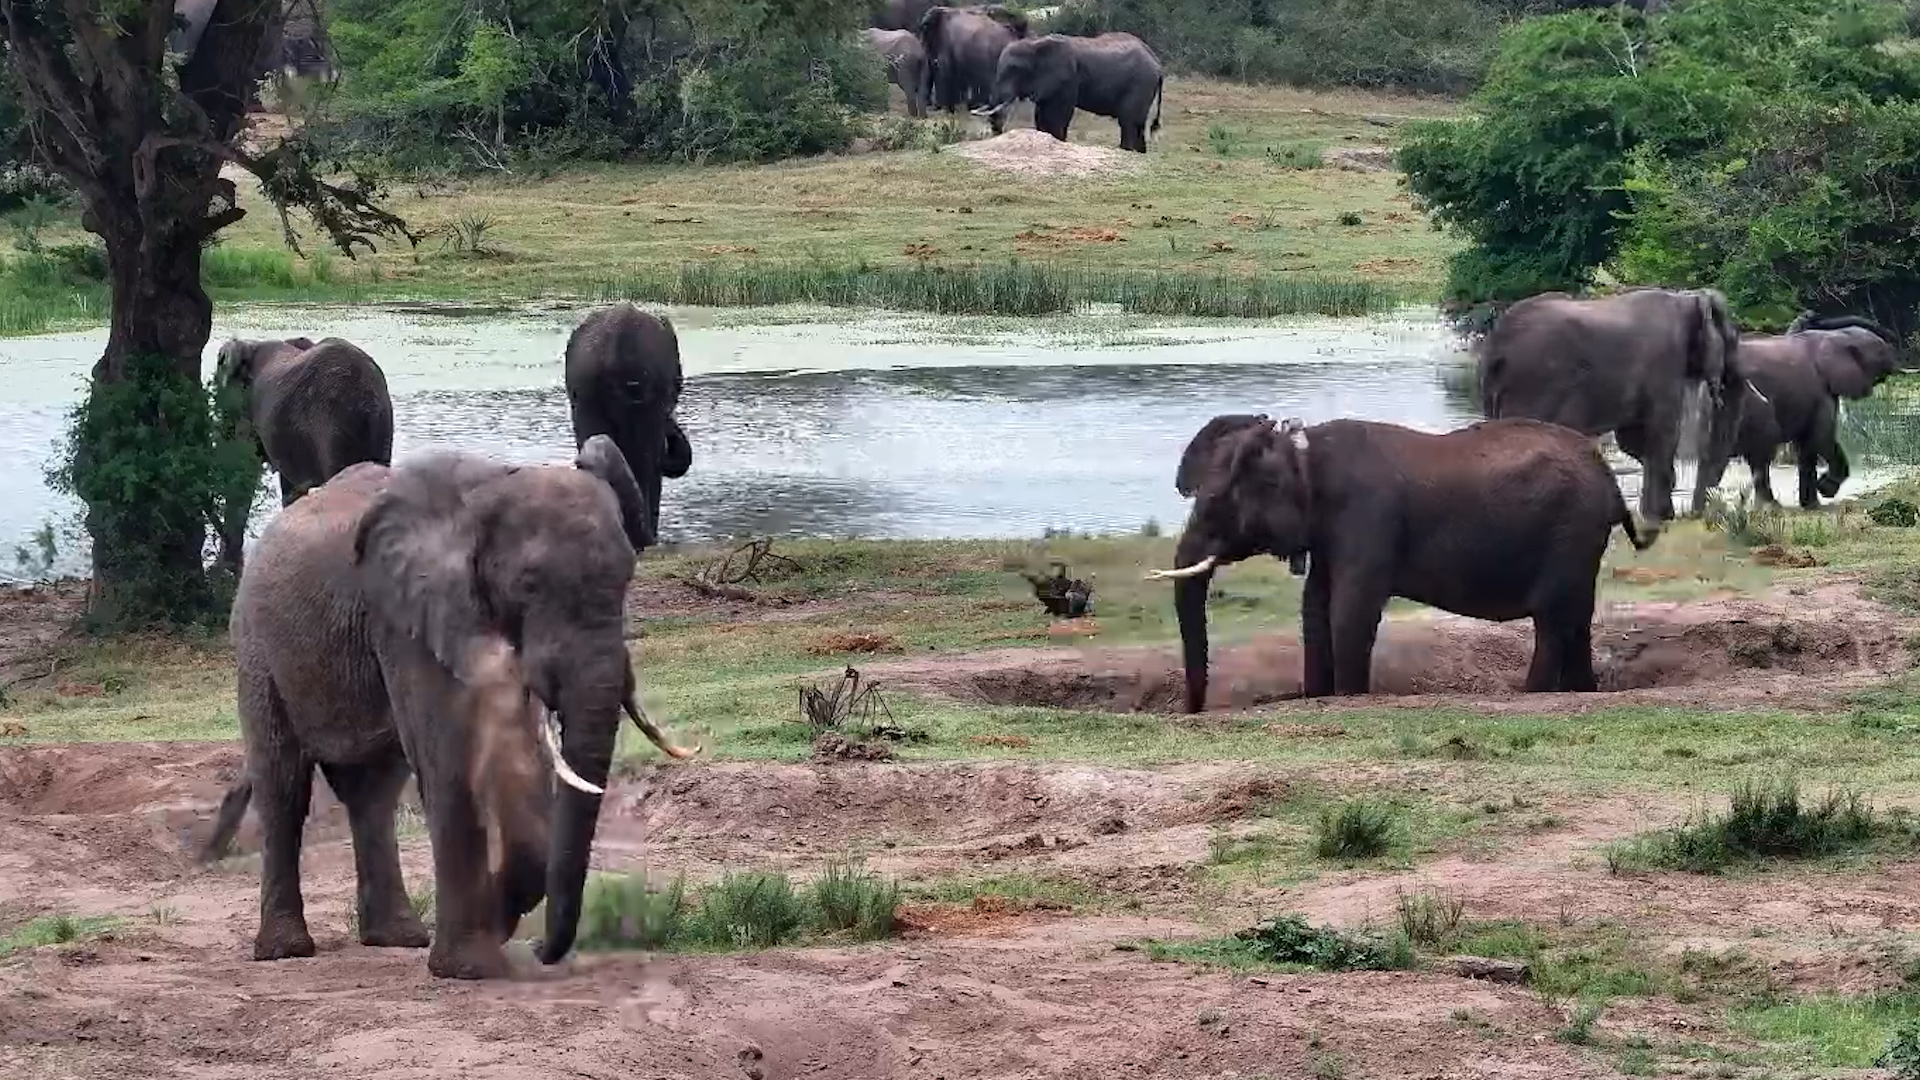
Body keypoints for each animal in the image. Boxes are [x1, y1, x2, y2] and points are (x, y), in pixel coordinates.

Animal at [198, 437, 696, 980]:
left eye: (627, 577)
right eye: (528, 585)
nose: (540, 950)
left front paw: (490, 933)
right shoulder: (404, 613)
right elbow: (449, 756)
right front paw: (469, 967)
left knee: (373, 791)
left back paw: (398, 938)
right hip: (255, 647)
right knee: (283, 784)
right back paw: (286, 950)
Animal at [976, 33, 1164, 153]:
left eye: (1013, 70)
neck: (1036, 44)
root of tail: (1157, 62)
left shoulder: (1066, 78)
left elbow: (1059, 114)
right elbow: (1042, 114)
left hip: (1141, 82)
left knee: (1128, 122)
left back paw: (1126, 151)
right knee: (1137, 124)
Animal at [1152, 415, 1652, 708]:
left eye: (1216, 504)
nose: (1193, 711)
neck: (1298, 449)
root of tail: (1607, 474)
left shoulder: (1367, 515)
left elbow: (1350, 610)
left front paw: (1349, 697)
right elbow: (1315, 606)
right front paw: (1319, 696)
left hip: (1569, 528)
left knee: (1551, 617)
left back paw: (1532, 695)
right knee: (1576, 615)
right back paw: (1581, 691)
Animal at [1476, 287, 1746, 539]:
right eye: (1733, 340)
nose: (1694, 515)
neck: (1688, 298)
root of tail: (1496, 343)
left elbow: (1633, 440)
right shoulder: (1665, 365)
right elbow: (1662, 432)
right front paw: (1661, 518)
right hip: (1534, 385)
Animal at [1694, 315, 1902, 509]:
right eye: (1880, 351)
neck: (1835, 336)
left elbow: (1807, 447)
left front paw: (1812, 505)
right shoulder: (1820, 391)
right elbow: (1821, 439)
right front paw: (1825, 490)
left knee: (1715, 458)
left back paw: (1702, 510)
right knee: (1759, 452)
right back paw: (1770, 507)